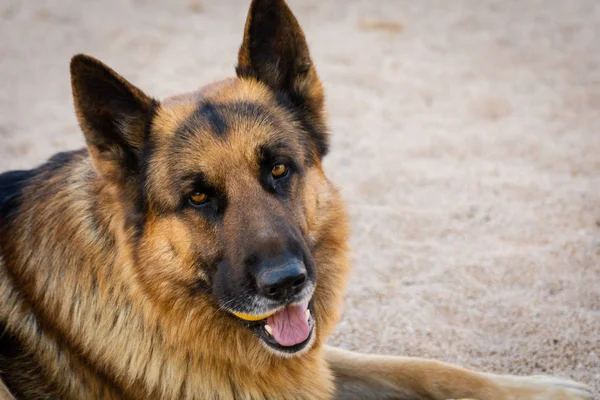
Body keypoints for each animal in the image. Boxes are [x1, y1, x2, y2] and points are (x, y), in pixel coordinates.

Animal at [0, 0, 592, 400]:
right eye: (198, 197)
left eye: (279, 168)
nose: (285, 283)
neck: (154, 302)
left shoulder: (310, 361)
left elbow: (422, 367)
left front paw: (544, 389)